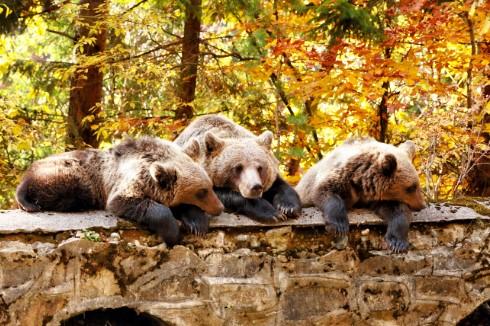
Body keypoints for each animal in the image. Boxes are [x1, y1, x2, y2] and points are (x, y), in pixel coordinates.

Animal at [14, 136, 222, 244]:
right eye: (202, 191)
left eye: (209, 186)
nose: (220, 207)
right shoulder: (126, 183)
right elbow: (130, 203)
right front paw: (172, 233)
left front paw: (198, 224)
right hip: (72, 173)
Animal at [172, 113, 302, 225]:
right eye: (238, 167)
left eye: (260, 168)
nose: (255, 187)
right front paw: (273, 213)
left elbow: (280, 186)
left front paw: (288, 207)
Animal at [294, 138, 424, 252]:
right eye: (411, 187)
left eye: (417, 185)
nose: (422, 206)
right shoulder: (340, 178)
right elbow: (326, 192)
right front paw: (339, 226)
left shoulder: (379, 197)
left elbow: (396, 210)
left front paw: (397, 242)